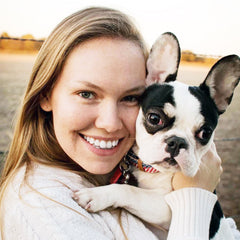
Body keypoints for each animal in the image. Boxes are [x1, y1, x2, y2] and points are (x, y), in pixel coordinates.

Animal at [74, 32, 239, 239]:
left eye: (206, 132)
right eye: (154, 118)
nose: (176, 142)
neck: (151, 170)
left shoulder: (166, 207)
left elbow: (129, 190)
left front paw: (96, 195)